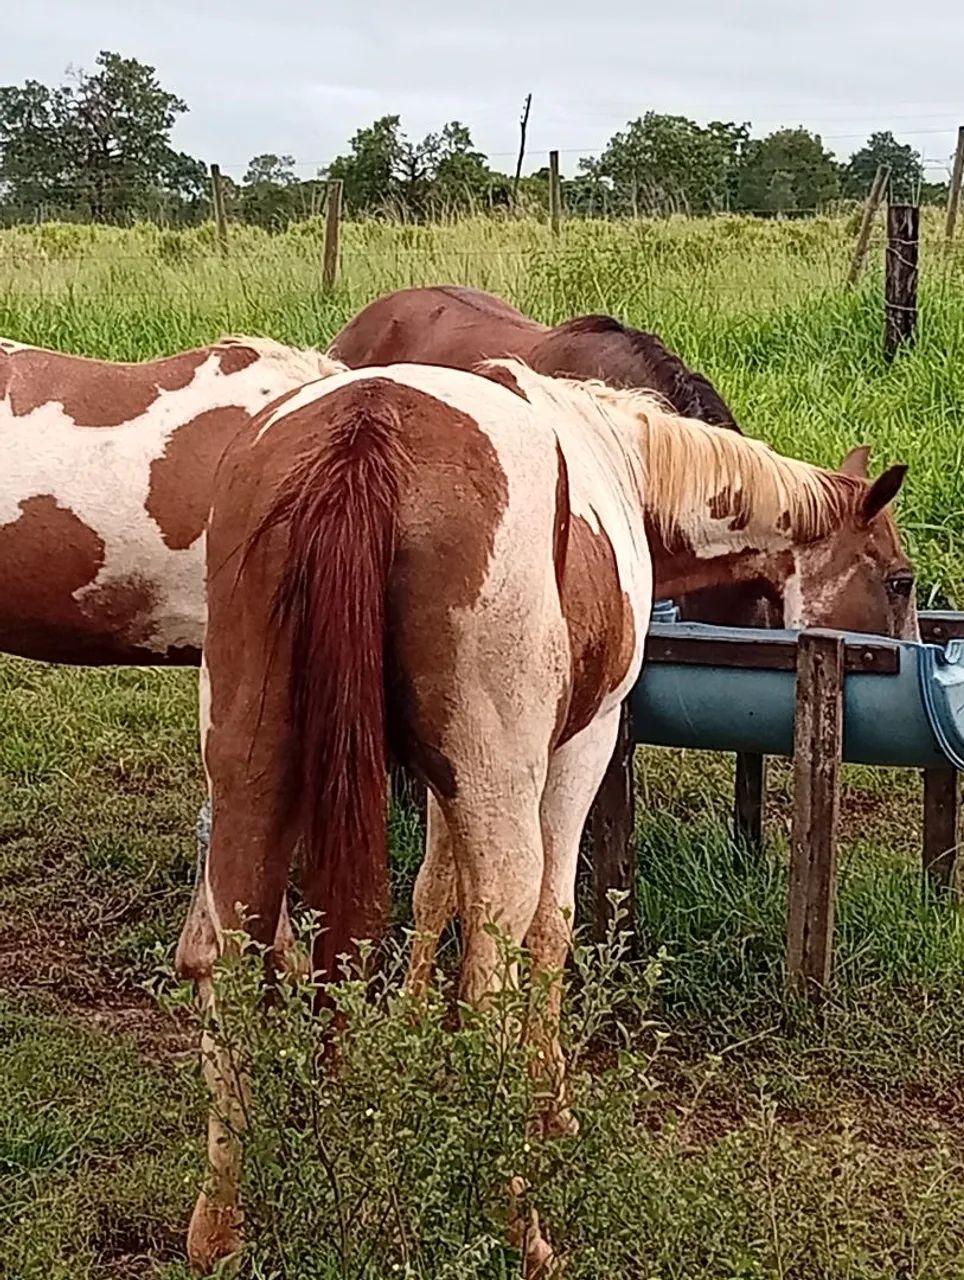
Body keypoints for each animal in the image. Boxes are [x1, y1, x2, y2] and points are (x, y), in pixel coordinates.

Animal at [179, 354, 914, 1274]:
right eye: (898, 579)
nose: (907, 647)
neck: (625, 465)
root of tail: (365, 432)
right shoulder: (579, 750)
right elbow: (552, 924)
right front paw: (547, 1099)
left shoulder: (445, 784)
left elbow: (433, 894)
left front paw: (418, 1048)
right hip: (501, 794)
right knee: (493, 959)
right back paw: (520, 1223)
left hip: (252, 780)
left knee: (232, 959)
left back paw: (219, 1228)